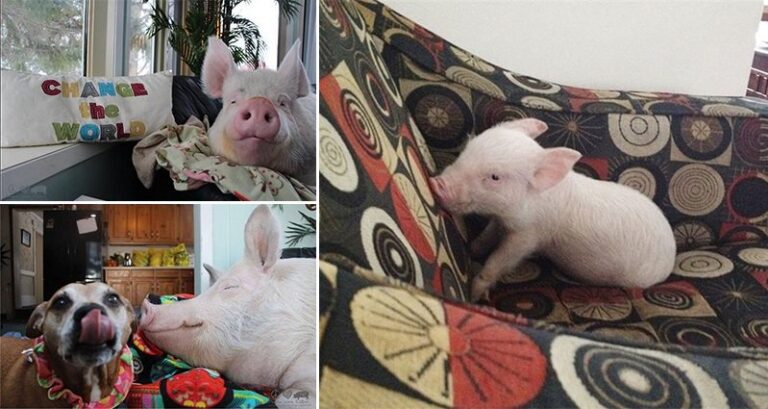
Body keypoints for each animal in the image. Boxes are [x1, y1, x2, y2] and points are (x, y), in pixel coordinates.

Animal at [429, 118, 675, 301]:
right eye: (467, 148)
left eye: (495, 177)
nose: (436, 183)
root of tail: (671, 256)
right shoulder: (501, 220)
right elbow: (487, 235)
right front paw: (473, 249)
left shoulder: (529, 235)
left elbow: (502, 258)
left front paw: (476, 294)